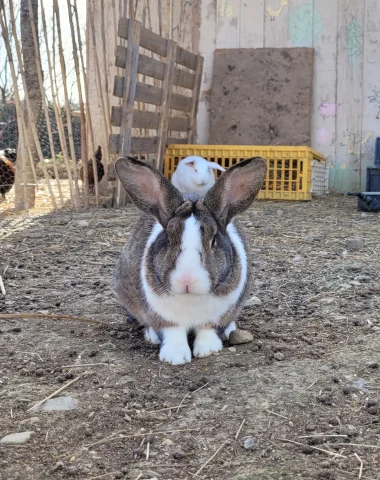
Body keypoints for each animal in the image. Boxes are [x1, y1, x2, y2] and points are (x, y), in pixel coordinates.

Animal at [113, 157, 268, 364]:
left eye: (213, 240)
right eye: (169, 238)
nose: (187, 280)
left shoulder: (216, 318)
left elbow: (208, 330)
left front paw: (207, 350)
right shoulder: (165, 319)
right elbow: (173, 333)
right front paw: (175, 357)